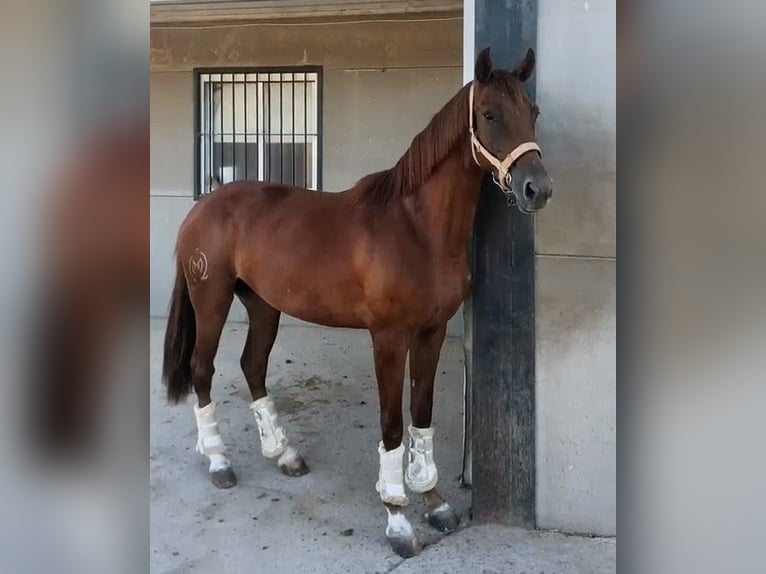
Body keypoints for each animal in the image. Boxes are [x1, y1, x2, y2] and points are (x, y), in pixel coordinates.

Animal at [162, 47, 552, 558]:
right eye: (489, 114)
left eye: (533, 112)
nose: (537, 189)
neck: (417, 228)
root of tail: (203, 206)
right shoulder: (388, 338)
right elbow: (391, 424)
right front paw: (398, 519)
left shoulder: (432, 332)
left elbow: (421, 415)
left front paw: (435, 503)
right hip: (211, 300)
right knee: (202, 369)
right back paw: (218, 462)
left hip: (263, 305)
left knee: (252, 365)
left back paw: (283, 454)